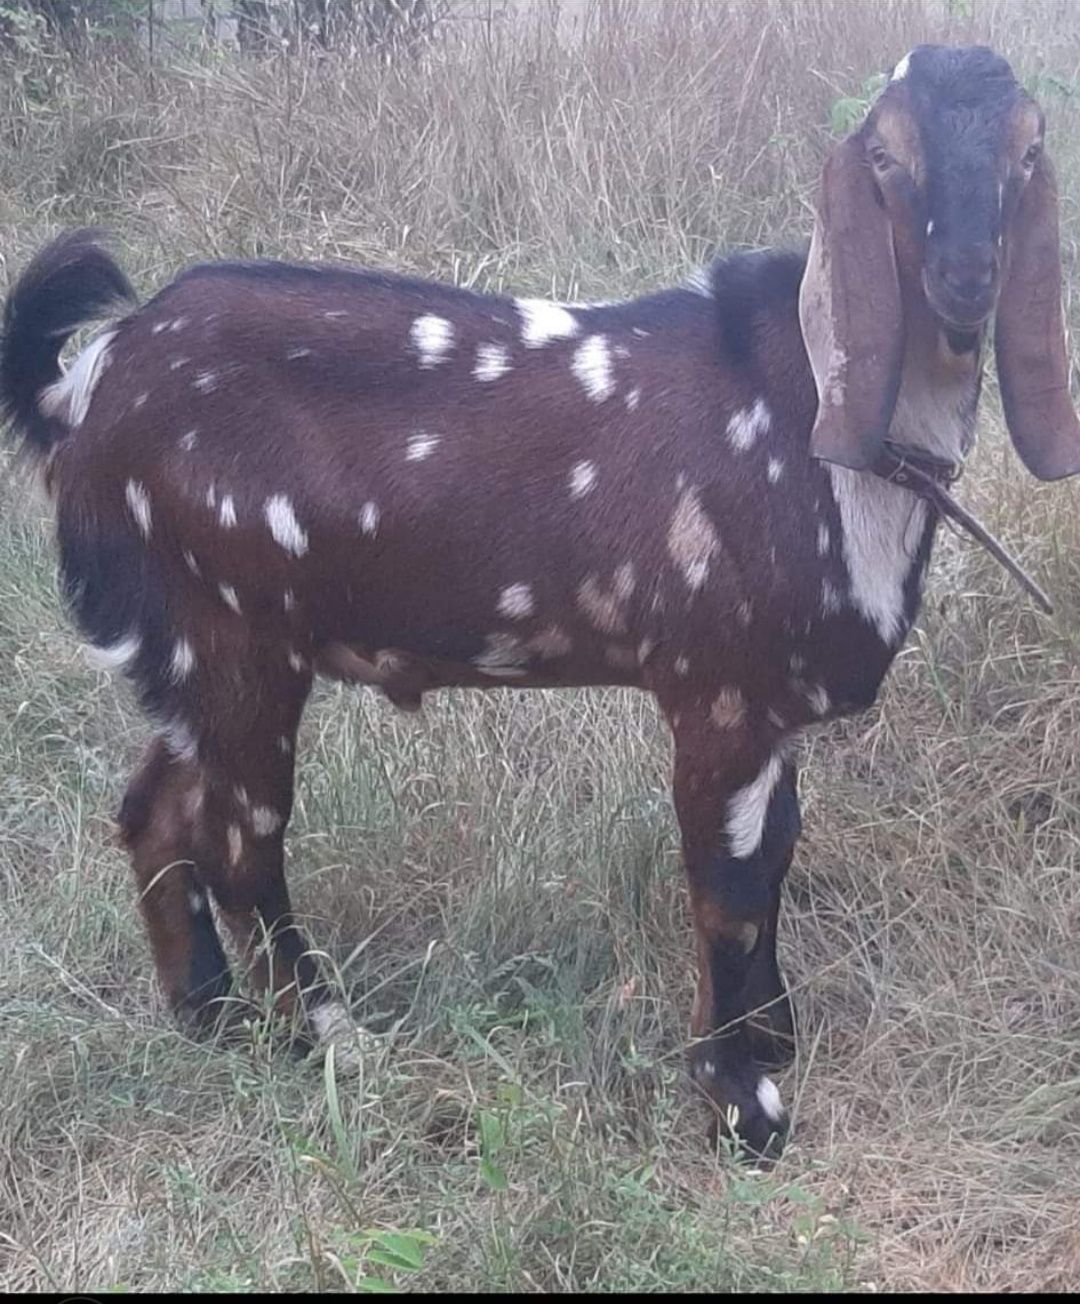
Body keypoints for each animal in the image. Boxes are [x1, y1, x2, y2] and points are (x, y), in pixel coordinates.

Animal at [2, 43, 1080, 1163]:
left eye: (1028, 150)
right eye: (886, 158)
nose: (967, 281)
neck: (817, 422)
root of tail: (79, 390)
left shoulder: (774, 705)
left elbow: (778, 848)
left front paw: (775, 1036)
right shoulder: (719, 689)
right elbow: (729, 883)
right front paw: (742, 1103)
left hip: (190, 653)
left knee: (155, 810)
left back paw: (209, 1015)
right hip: (235, 636)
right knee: (238, 839)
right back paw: (328, 1038)